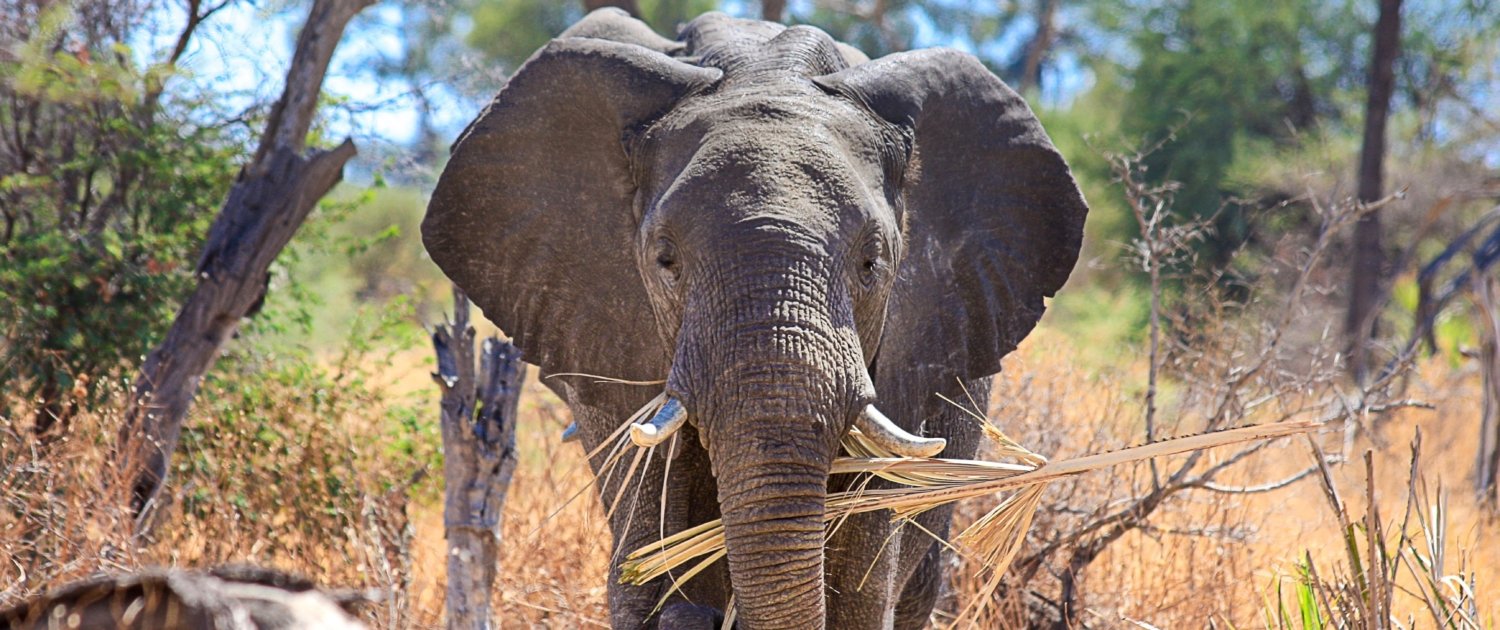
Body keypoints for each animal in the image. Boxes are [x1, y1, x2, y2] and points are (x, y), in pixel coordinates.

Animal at [423, 7, 1092, 627]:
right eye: (665, 260)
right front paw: (679, 600)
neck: (764, 67)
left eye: (872, 262)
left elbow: (863, 576)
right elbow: (645, 546)